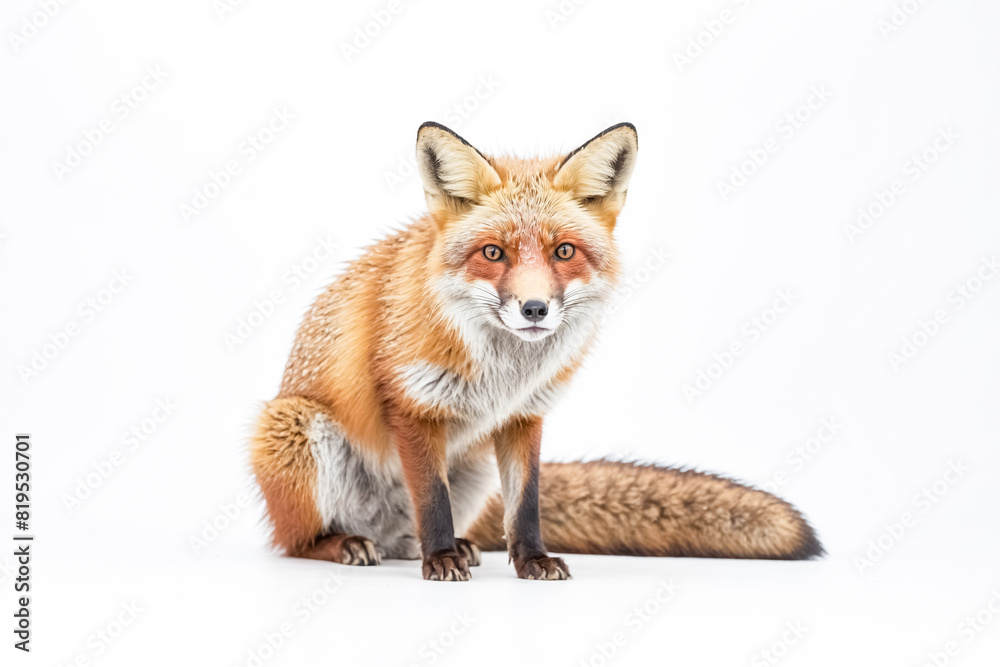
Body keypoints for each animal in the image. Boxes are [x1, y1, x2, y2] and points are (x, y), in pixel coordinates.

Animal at [250, 121, 823, 581]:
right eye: (493, 252)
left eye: (563, 251)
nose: (534, 309)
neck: (505, 372)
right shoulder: (412, 408)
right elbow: (432, 500)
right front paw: (441, 561)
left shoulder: (524, 415)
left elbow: (525, 505)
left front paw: (531, 561)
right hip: (295, 427)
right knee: (295, 543)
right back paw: (352, 544)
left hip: (473, 470)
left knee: (421, 535)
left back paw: (444, 546)